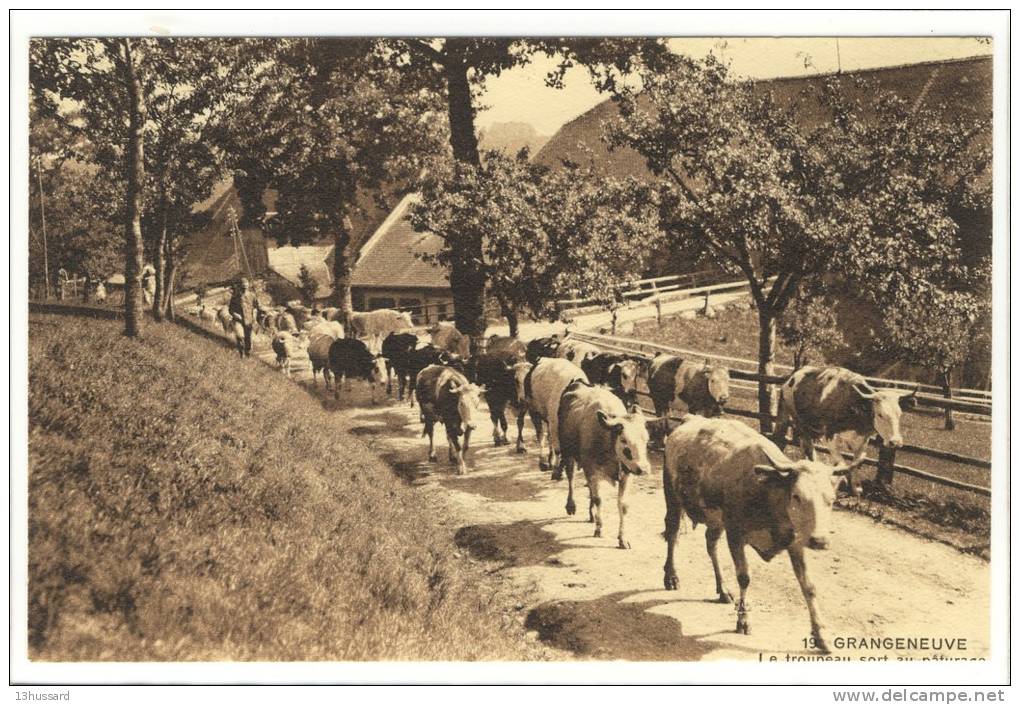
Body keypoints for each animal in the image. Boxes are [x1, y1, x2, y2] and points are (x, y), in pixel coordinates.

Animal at [558, 381, 652, 550]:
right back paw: (571, 505)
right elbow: (598, 499)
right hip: (567, 452)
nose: (643, 469)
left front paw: (623, 538)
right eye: (624, 440)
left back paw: (591, 514)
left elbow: (623, 505)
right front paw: (599, 528)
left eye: (646, 440)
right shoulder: (592, 470)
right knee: (571, 477)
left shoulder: (627, 474)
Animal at [660, 416, 860, 652]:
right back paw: (671, 576)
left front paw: (821, 634)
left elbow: (809, 586)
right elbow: (744, 578)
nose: (820, 541)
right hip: (672, 496)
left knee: (710, 544)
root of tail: (691, 419)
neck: (768, 493)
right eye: (796, 496)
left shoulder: (795, 541)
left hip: (715, 519)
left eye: (831, 499)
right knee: (673, 534)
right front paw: (743, 620)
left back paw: (723, 589)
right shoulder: (735, 534)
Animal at [771, 363, 918, 495]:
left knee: (806, 447)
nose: (896, 442)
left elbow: (857, 461)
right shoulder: (830, 436)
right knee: (794, 443)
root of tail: (793, 376)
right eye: (880, 414)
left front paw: (856, 487)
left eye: (900, 414)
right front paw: (841, 480)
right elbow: (841, 462)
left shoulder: (863, 440)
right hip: (792, 419)